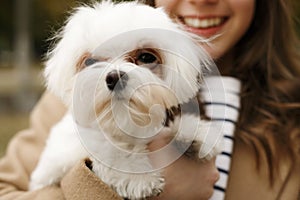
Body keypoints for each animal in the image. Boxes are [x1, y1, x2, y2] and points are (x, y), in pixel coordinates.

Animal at [29, 1, 223, 198]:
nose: (114, 77)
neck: (124, 121)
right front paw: (137, 175)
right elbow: (108, 149)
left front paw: (195, 133)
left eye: (146, 57)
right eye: (90, 61)